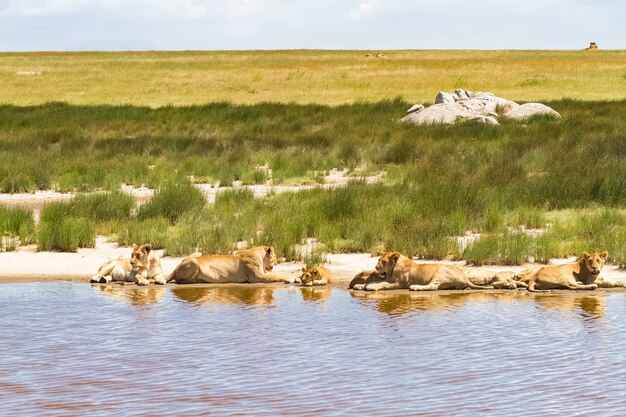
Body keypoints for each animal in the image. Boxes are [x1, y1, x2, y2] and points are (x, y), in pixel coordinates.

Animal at [165, 245, 294, 284]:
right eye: (275, 256)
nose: (277, 261)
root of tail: (176, 266)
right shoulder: (256, 277)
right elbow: (276, 275)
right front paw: (290, 278)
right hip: (194, 262)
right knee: (180, 280)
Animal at [352, 249, 492, 290]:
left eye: (384, 262)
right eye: (378, 260)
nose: (376, 267)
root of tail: (465, 277)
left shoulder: (400, 283)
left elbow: (382, 284)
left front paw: (370, 287)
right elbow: (376, 281)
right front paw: (360, 286)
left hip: (440, 271)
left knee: (433, 287)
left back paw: (416, 287)